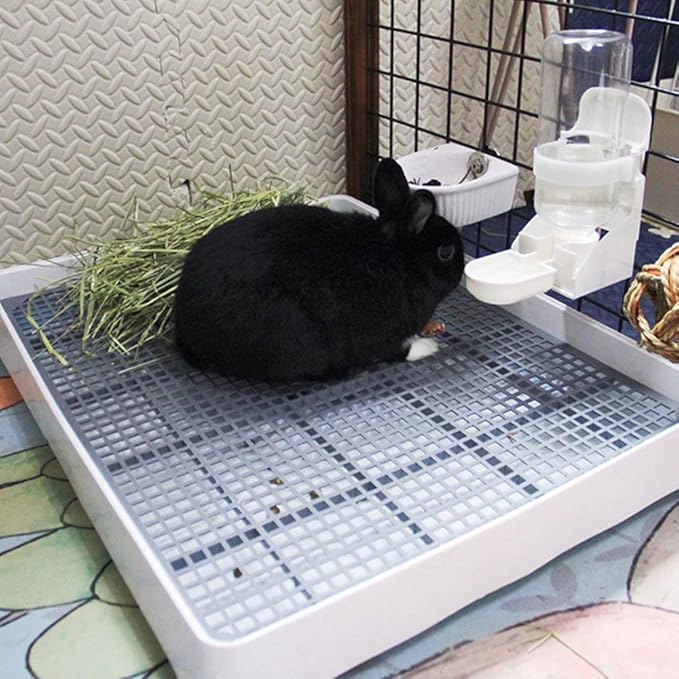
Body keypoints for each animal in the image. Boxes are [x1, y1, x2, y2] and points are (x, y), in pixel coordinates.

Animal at [173, 158, 465, 382]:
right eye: (446, 252)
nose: (461, 268)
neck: (402, 259)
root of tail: (187, 328)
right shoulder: (382, 332)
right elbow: (396, 351)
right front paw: (428, 347)